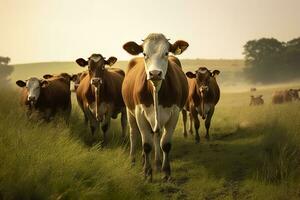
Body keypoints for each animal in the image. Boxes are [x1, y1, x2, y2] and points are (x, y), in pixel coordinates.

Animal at [121, 33, 188, 181]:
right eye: (144, 53)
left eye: (166, 53)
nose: (155, 73)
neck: (156, 89)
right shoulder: (139, 112)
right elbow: (146, 145)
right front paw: (147, 173)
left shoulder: (174, 113)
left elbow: (166, 144)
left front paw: (166, 172)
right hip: (129, 111)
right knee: (134, 133)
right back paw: (133, 161)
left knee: (157, 135)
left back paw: (157, 163)